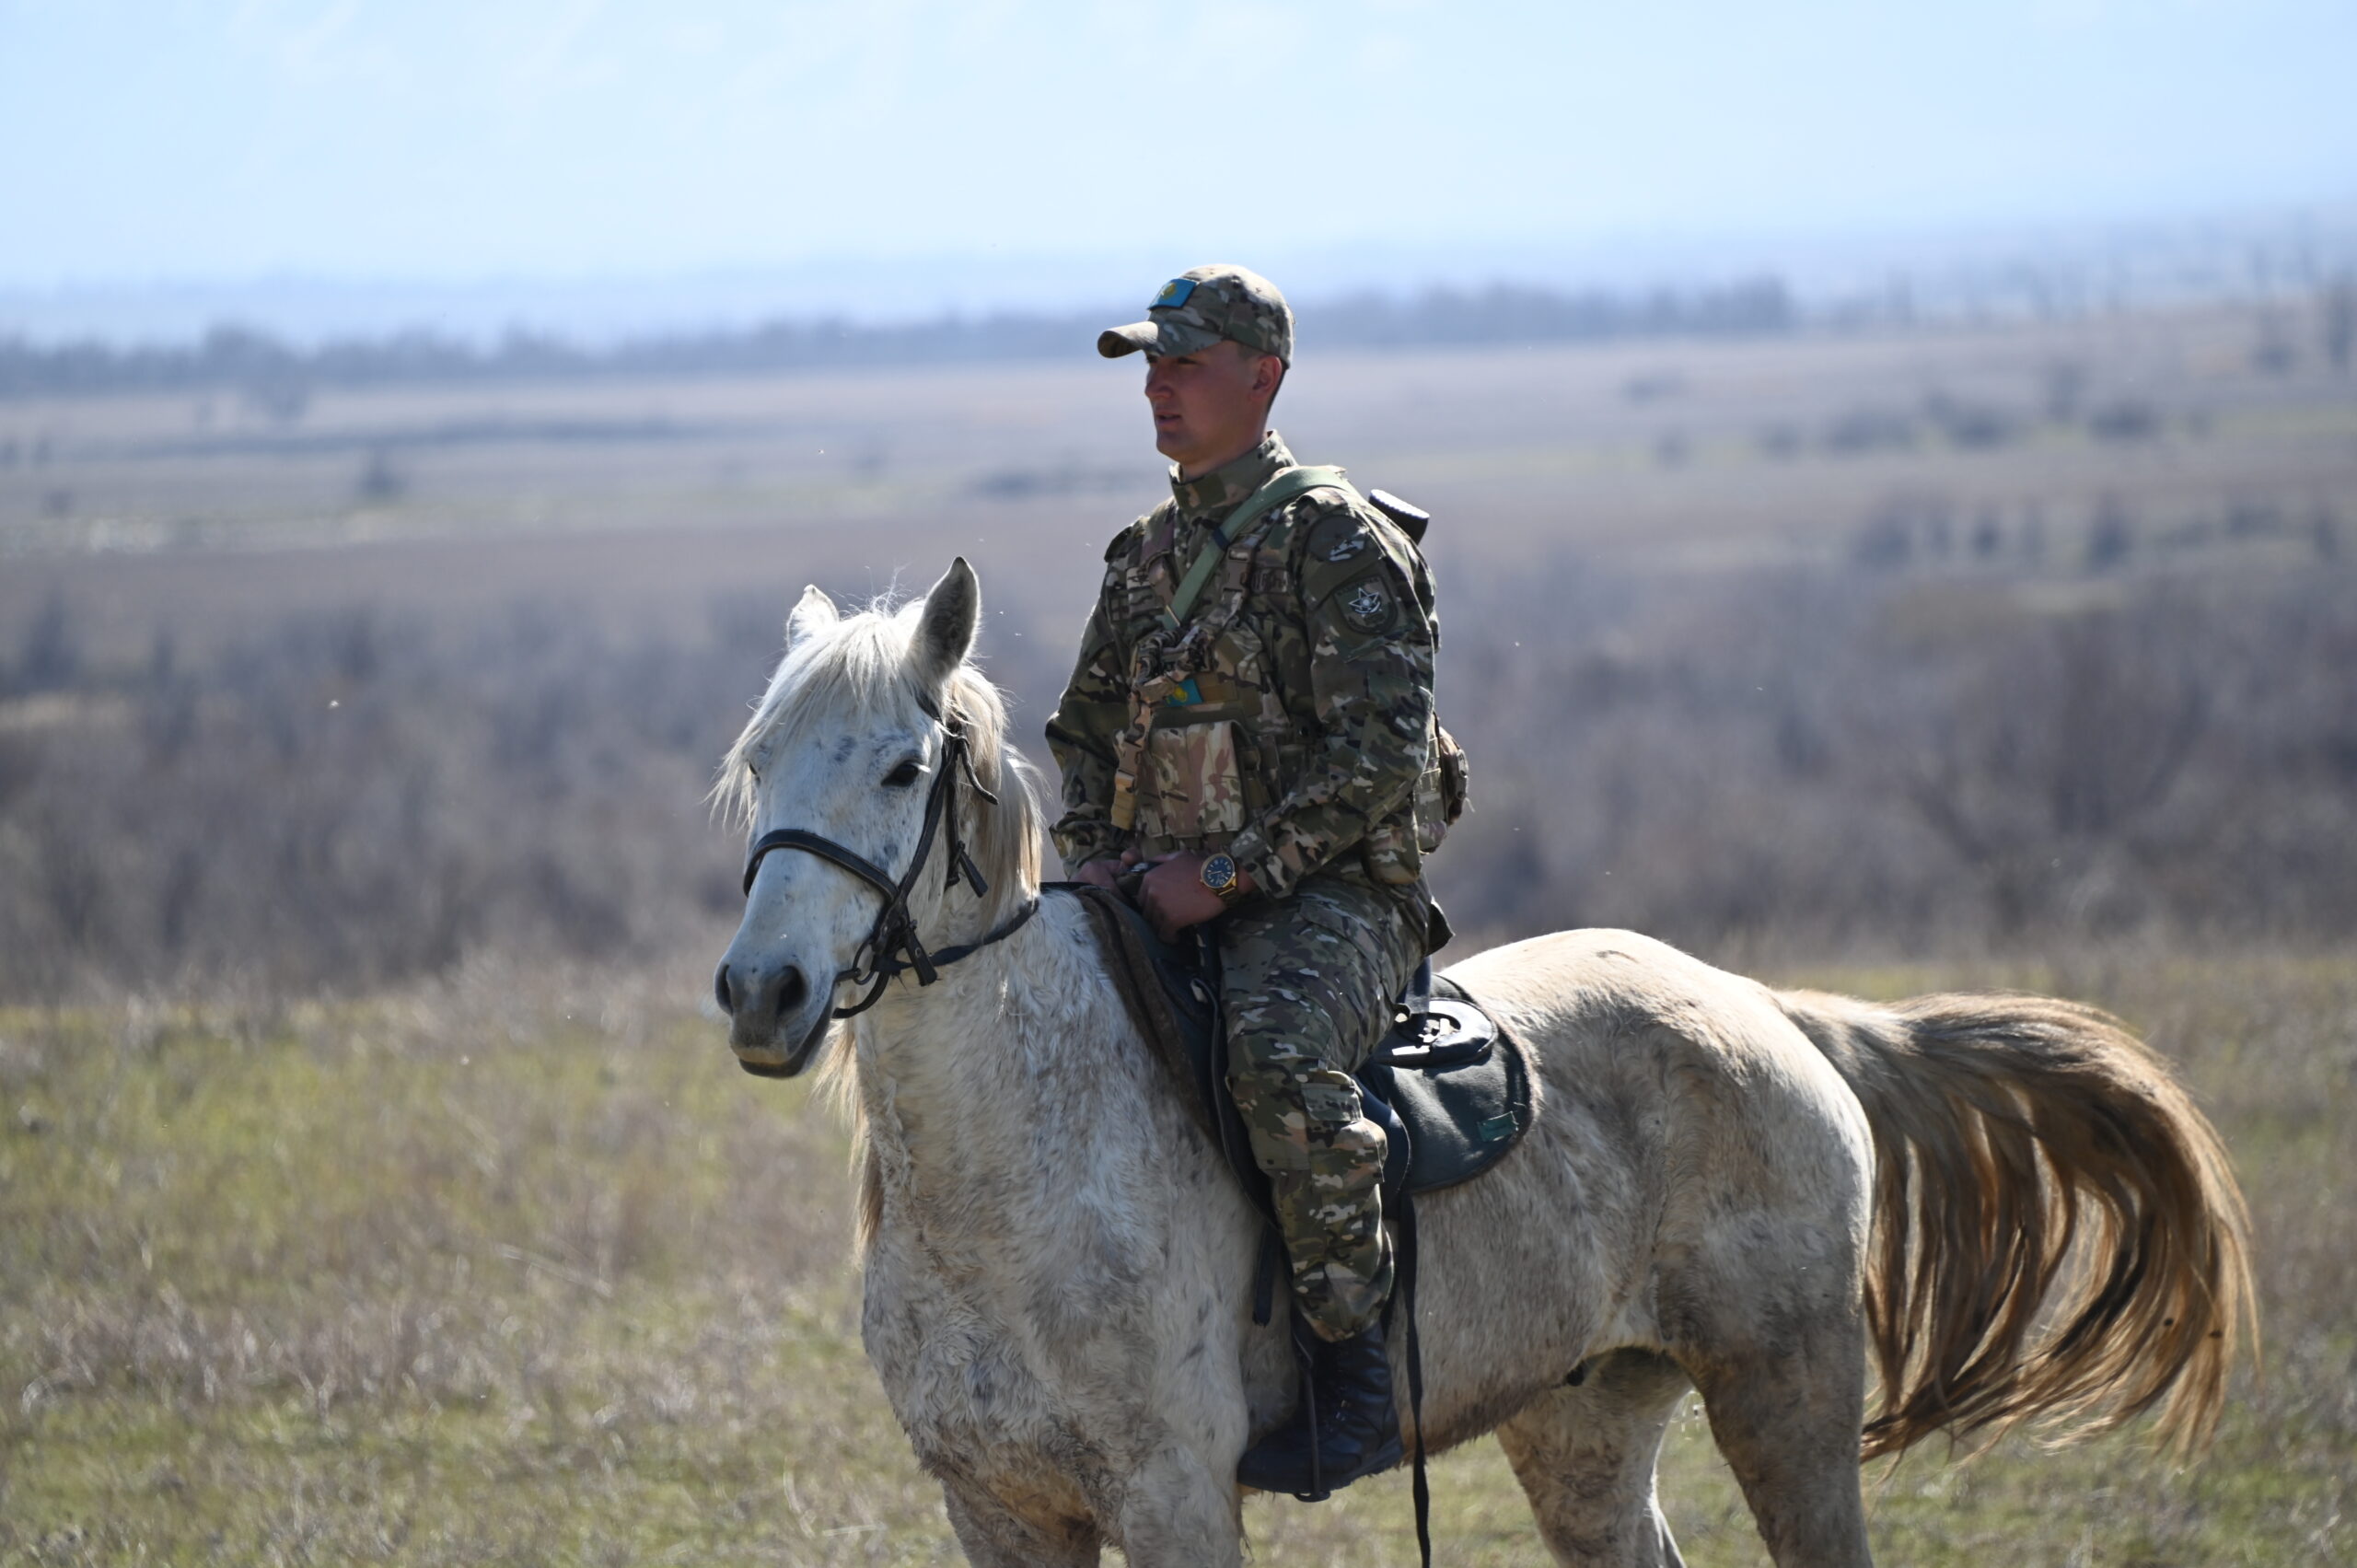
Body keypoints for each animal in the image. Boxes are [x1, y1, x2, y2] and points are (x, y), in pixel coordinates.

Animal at [710, 558, 2254, 1568]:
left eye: (903, 766)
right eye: (762, 758)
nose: (762, 991)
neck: (1012, 1167)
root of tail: (1768, 1011)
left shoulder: (1173, 1494)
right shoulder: (1000, 1506)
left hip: (1788, 1391)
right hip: (1589, 1423)